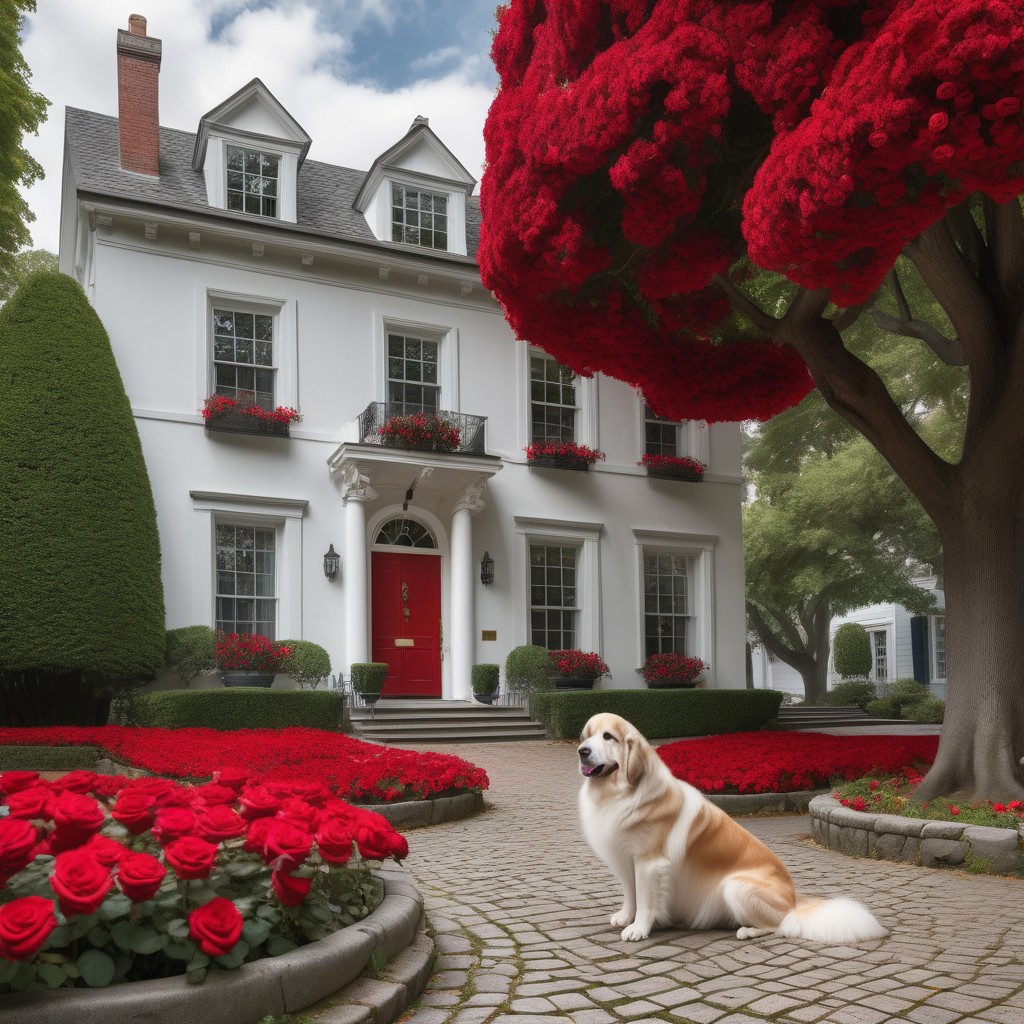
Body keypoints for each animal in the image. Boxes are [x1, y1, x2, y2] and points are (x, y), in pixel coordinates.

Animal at [577, 712, 888, 942]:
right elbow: (631, 894)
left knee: (780, 926)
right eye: (587, 735)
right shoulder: (624, 859)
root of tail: (794, 904)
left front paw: (639, 929)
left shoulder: (649, 862)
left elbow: (646, 900)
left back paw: (748, 930)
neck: (620, 793)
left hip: (734, 886)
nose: (582, 751)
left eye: (608, 737)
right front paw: (625, 917)